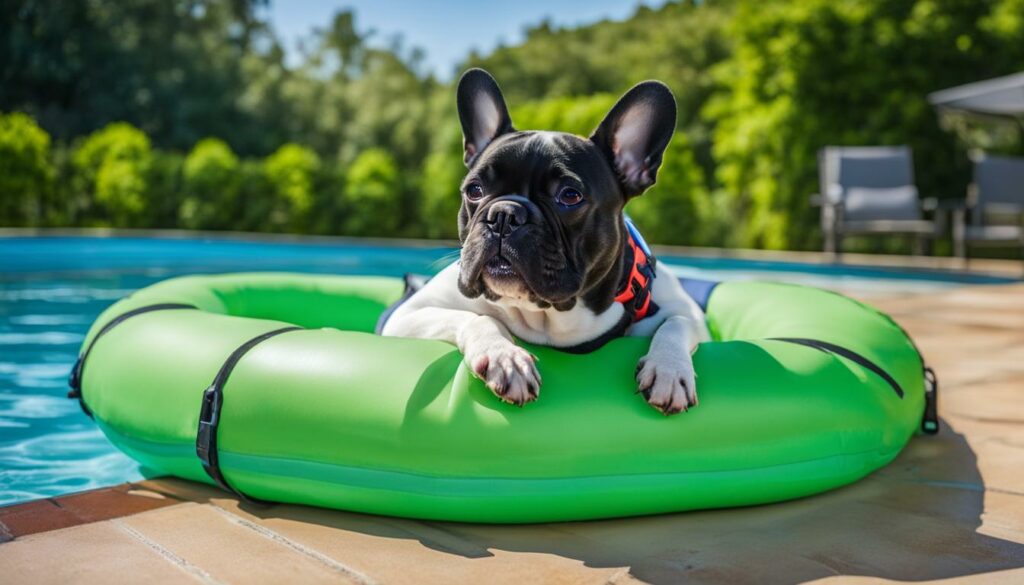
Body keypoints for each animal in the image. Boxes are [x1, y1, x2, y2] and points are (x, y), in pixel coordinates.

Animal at [380, 68, 708, 413]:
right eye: (474, 190)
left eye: (570, 196)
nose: (504, 215)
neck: (547, 318)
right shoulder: (407, 315)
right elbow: (477, 317)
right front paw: (505, 357)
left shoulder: (689, 313)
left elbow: (676, 323)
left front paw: (669, 370)